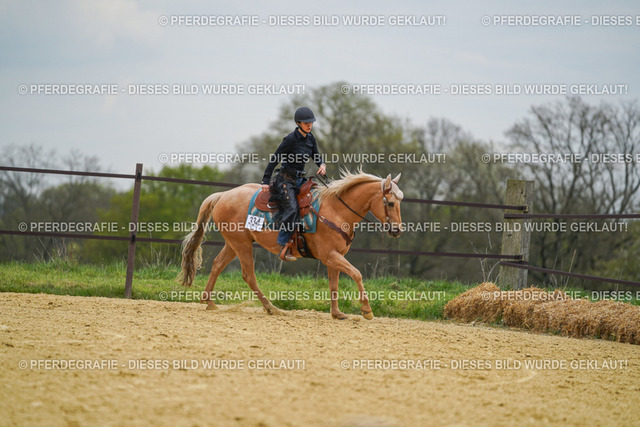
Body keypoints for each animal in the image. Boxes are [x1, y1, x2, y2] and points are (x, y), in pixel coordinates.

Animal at [178, 169, 404, 320]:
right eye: (391, 203)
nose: (398, 230)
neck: (335, 210)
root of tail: (222, 195)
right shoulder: (330, 255)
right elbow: (357, 273)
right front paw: (366, 310)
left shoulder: (334, 257)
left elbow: (334, 284)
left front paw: (337, 313)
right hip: (241, 244)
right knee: (248, 275)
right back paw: (271, 308)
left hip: (234, 243)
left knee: (217, 264)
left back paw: (209, 301)